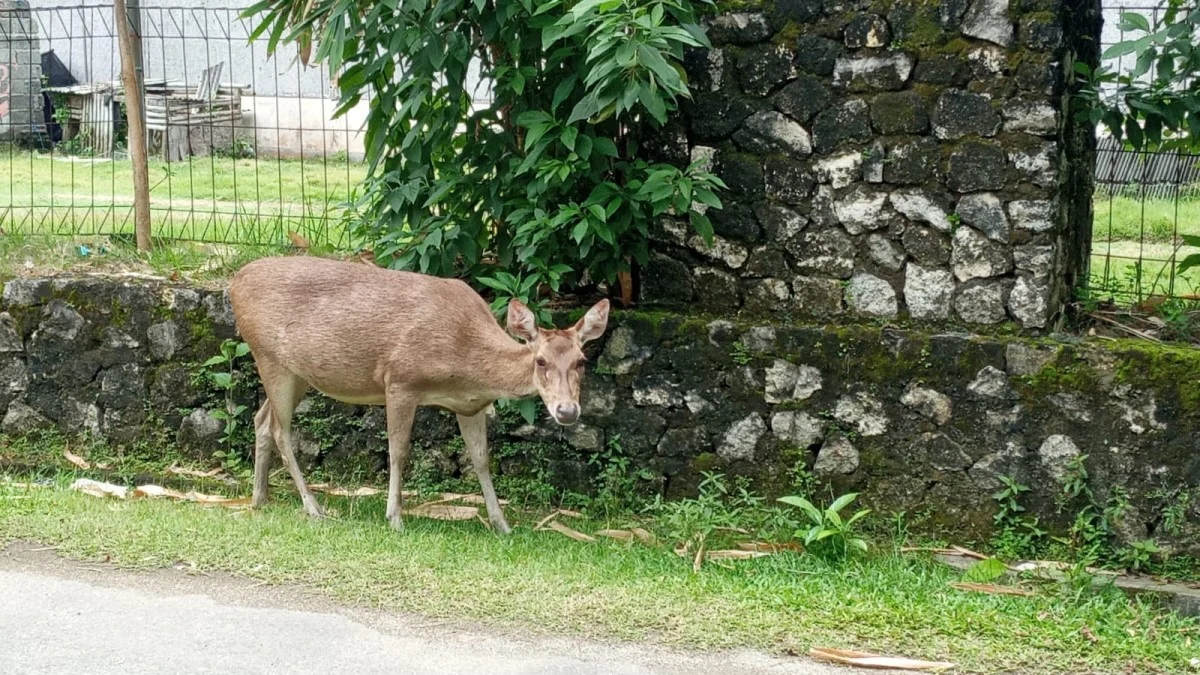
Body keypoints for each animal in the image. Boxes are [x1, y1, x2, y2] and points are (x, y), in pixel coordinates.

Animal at [226, 254, 609, 533]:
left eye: (582, 360)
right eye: (541, 360)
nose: (567, 411)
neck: (465, 364)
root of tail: (234, 282)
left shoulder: (471, 406)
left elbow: (481, 459)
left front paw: (502, 524)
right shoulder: (400, 380)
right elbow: (398, 451)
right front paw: (395, 517)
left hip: (296, 372)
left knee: (261, 418)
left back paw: (259, 498)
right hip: (269, 355)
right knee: (280, 429)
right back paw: (313, 506)